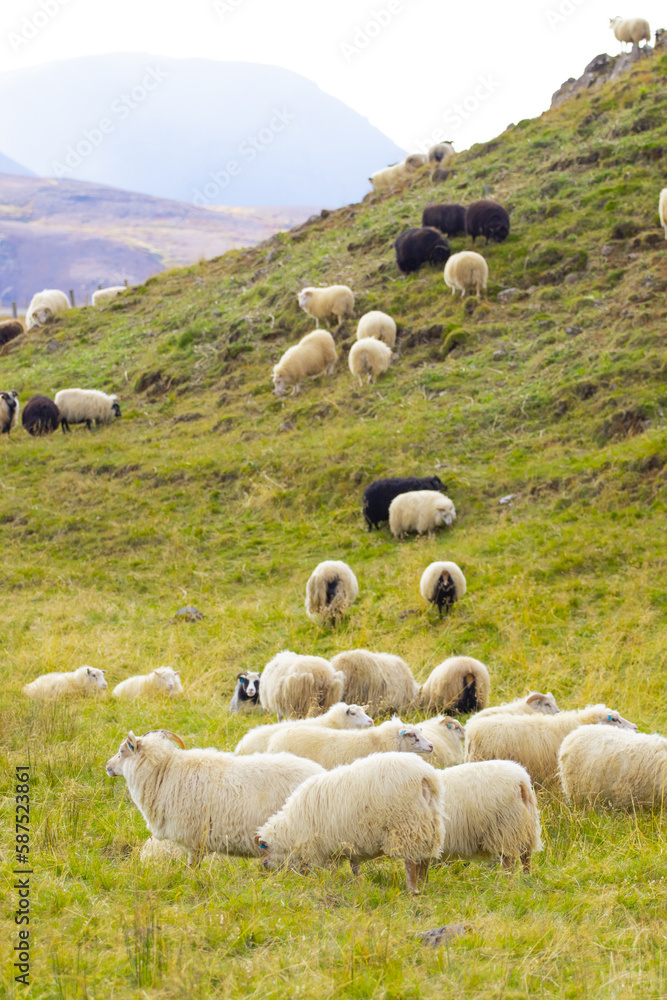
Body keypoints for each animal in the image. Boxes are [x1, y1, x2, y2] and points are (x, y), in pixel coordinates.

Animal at [105, 729, 324, 862]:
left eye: (121, 751)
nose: (107, 766)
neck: (163, 772)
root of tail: (321, 772)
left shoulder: (194, 838)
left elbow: (192, 868)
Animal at [256, 752, 445, 892]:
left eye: (265, 861)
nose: (268, 876)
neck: (291, 829)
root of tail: (425, 776)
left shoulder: (322, 846)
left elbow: (329, 869)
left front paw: (329, 882)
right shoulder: (351, 841)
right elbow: (355, 867)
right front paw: (359, 884)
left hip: (406, 825)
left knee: (411, 861)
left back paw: (413, 888)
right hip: (429, 824)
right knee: (425, 859)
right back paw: (424, 884)